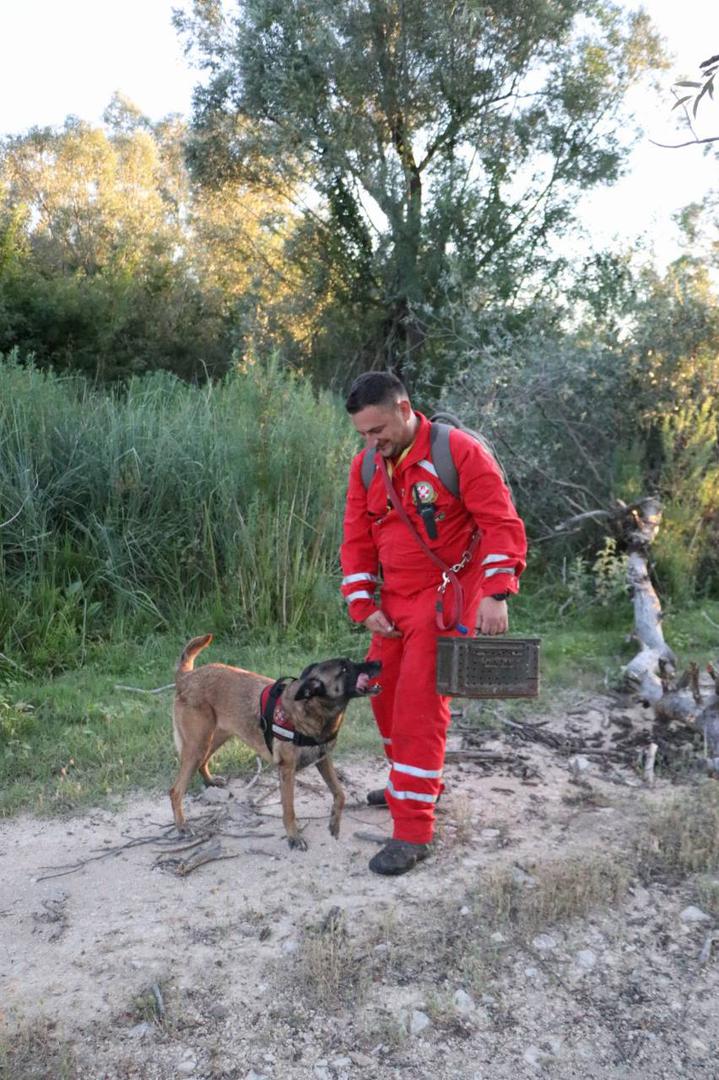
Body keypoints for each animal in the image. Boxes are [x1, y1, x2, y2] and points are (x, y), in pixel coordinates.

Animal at [169, 634, 381, 849]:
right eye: (345, 669)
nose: (378, 662)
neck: (311, 708)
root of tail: (187, 677)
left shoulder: (323, 760)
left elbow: (340, 793)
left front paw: (334, 823)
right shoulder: (287, 770)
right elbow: (289, 809)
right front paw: (294, 837)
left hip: (214, 738)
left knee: (202, 762)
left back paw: (210, 781)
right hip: (198, 745)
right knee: (175, 791)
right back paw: (182, 826)